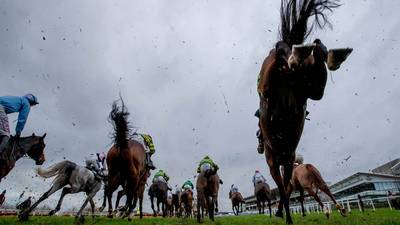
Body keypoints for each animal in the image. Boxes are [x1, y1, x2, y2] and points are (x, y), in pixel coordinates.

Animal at [258, 0, 352, 223]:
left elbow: (284, 189)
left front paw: (284, 214)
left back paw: (301, 52)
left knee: (280, 50)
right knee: (313, 63)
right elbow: (284, 189)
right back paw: (321, 52)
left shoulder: (277, 163)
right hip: (310, 88)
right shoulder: (284, 162)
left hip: (269, 83)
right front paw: (284, 213)